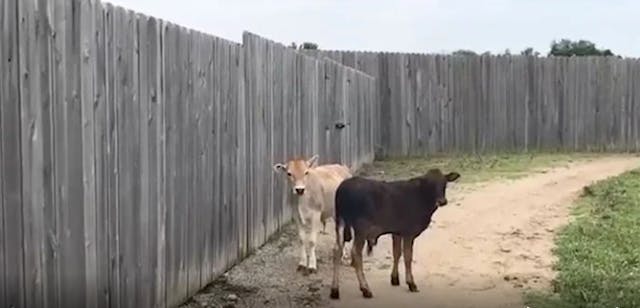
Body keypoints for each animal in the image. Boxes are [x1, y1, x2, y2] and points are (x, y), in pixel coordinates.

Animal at [330, 168, 460, 298]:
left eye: (444, 183)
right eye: (430, 184)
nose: (442, 201)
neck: (421, 196)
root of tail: (345, 186)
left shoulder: (397, 232)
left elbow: (396, 253)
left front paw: (395, 278)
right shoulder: (408, 232)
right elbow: (408, 256)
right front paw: (411, 283)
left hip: (340, 221)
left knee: (337, 250)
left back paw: (335, 290)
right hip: (361, 227)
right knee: (355, 253)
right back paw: (365, 288)